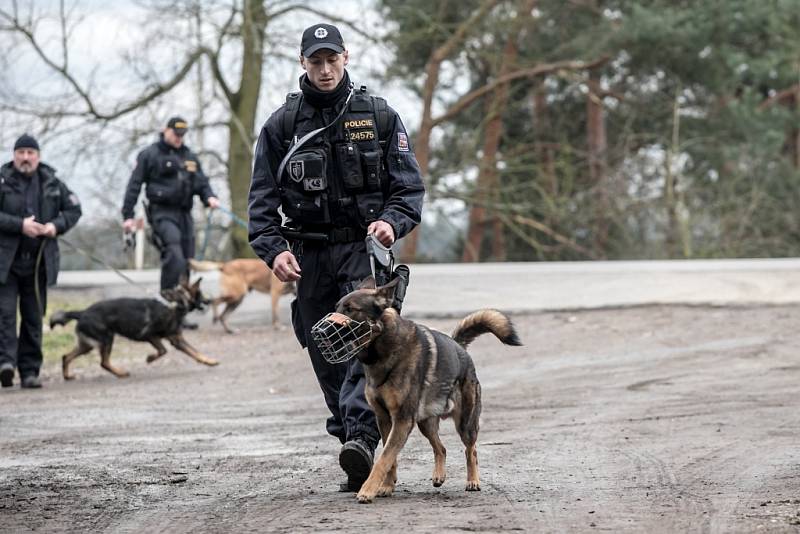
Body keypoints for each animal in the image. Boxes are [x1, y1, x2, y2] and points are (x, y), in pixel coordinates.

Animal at [49, 278, 219, 378]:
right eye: (201, 294)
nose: (210, 300)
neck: (174, 303)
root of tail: (82, 312)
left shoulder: (174, 339)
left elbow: (193, 352)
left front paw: (209, 361)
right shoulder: (153, 336)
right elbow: (165, 351)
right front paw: (150, 358)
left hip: (87, 345)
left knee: (66, 357)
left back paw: (67, 376)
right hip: (107, 339)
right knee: (104, 363)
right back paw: (120, 373)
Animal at [324, 278, 524, 504]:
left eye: (351, 309)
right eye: (336, 307)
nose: (321, 333)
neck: (384, 347)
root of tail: (459, 347)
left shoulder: (402, 420)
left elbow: (384, 458)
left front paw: (367, 490)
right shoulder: (384, 419)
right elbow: (390, 457)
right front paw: (386, 486)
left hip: (465, 423)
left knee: (470, 450)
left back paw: (473, 480)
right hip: (425, 423)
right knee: (441, 448)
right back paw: (439, 475)